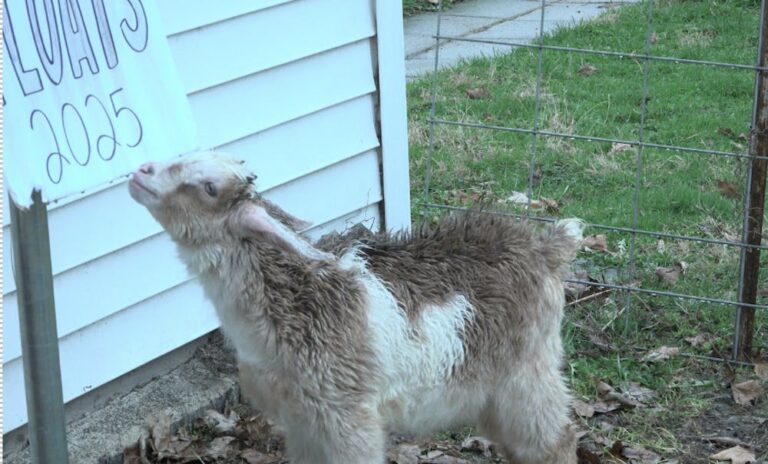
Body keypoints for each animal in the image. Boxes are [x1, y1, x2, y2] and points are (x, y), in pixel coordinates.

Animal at [128, 151, 581, 464]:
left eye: (208, 187)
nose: (140, 172)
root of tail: (547, 247)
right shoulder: (301, 420)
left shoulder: (347, 416)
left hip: (528, 369)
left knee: (556, 441)